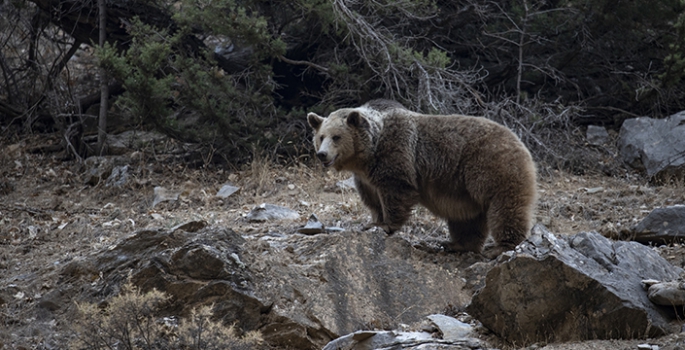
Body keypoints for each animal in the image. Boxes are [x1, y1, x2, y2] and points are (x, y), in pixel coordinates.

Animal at [308, 98, 536, 254]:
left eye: (336, 137)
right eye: (321, 137)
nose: (322, 154)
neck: (368, 154)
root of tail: (519, 140)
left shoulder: (396, 154)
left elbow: (396, 189)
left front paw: (385, 224)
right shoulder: (365, 178)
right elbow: (373, 201)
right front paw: (372, 222)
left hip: (490, 167)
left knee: (504, 205)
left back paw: (501, 246)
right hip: (465, 190)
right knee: (468, 219)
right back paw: (455, 244)